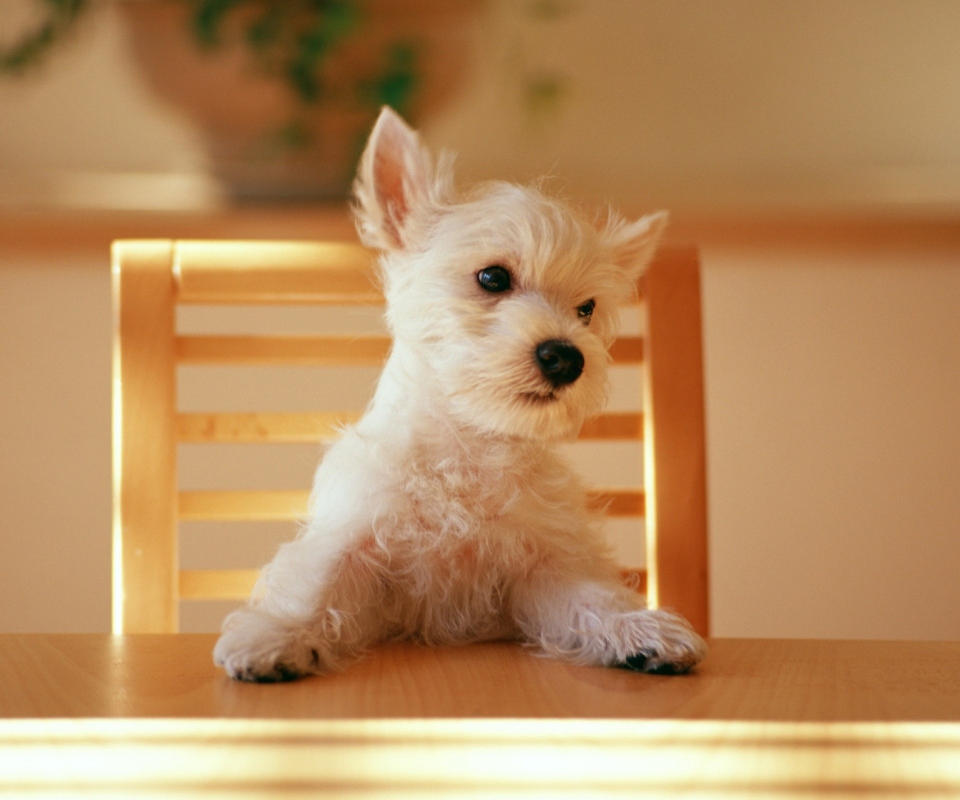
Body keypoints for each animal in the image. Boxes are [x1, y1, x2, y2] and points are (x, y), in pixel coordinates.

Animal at [216, 106, 704, 680]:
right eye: (492, 277)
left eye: (586, 308)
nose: (567, 358)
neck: (468, 446)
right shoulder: (357, 540)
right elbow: (316, 585)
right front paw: (276, 636)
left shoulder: (544, 568)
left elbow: (592, 598)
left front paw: (641, 630)